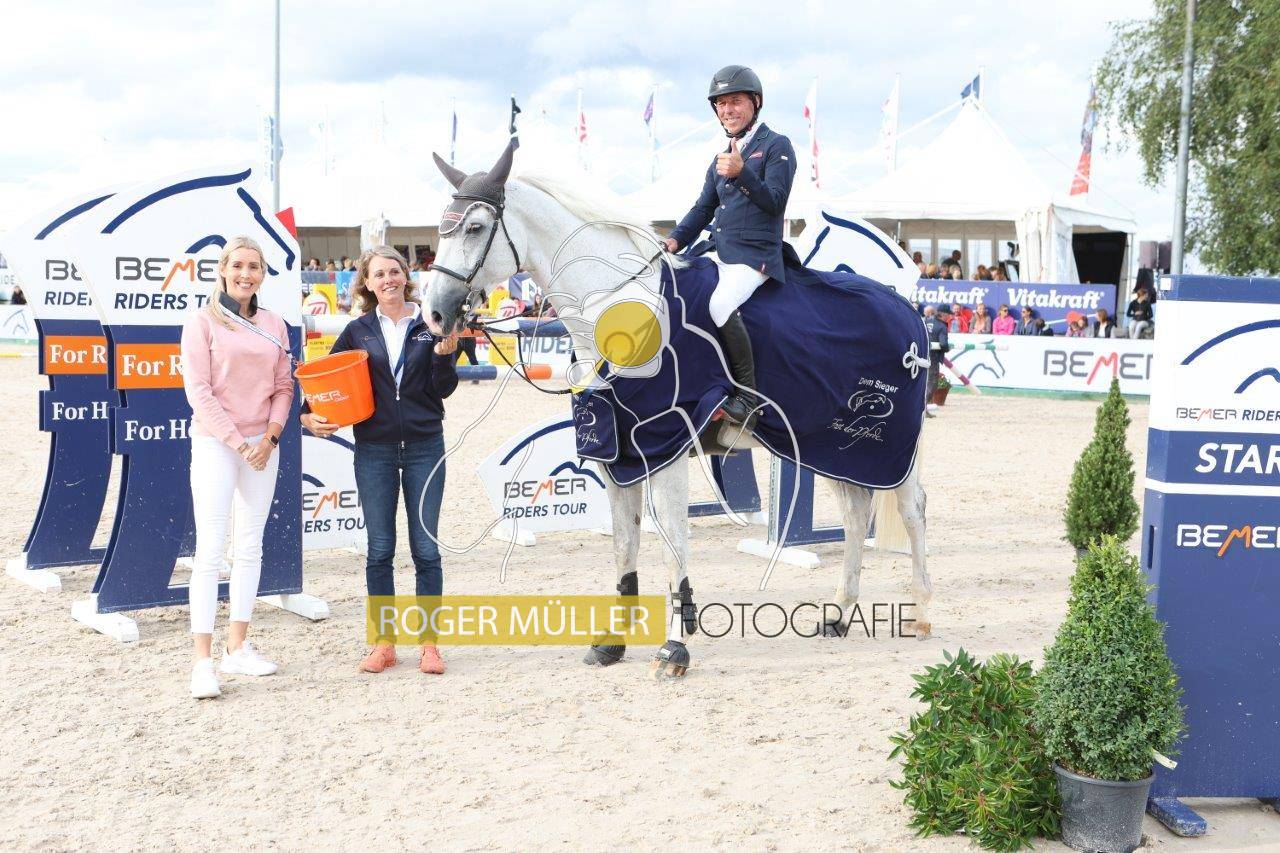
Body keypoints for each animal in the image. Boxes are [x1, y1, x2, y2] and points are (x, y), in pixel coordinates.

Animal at [424, 142, 932, 678]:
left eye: (475, 228)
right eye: (442, 226)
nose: (433, 314)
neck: (619, 307)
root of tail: (907, 308)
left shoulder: (664, 450)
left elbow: (672, 546)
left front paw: (674, 647)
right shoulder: (619, 456)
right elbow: (624, 547)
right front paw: (612, 643)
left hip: (890, 448)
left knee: (912, 510)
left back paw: (920, 612)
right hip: (831, 447)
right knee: (856, 513)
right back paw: (840, 615)